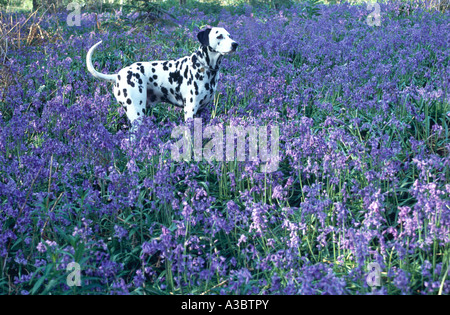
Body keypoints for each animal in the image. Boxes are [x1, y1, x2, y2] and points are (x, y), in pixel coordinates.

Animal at [85, 27, 237, 130]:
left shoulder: (201, 111)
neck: (204, 67)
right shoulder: (190, 111)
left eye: (229, 35)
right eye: (219, 36)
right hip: (137, 113)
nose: (235, 44)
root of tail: (118, 75)